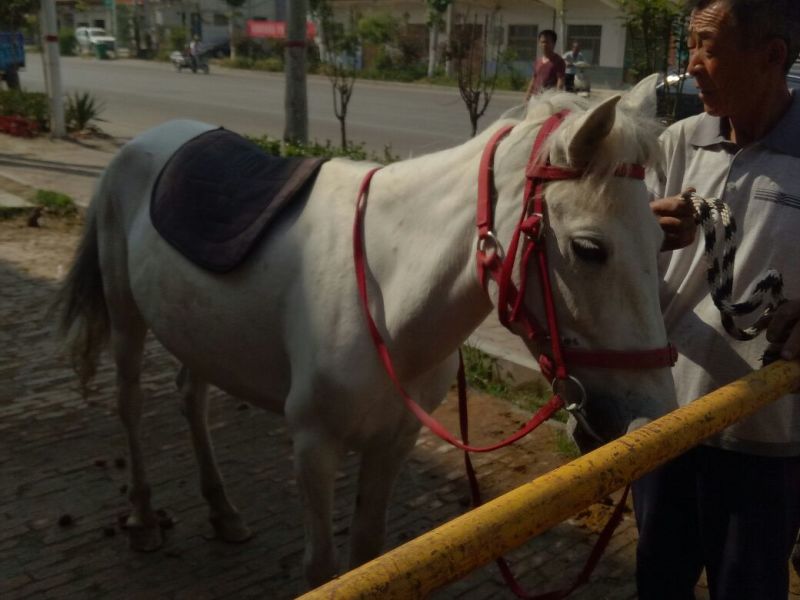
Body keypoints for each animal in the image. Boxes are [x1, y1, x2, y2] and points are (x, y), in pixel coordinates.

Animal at [56, 78, 675, 588]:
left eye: (662, 238)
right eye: (589, 249)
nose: (651, 417)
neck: (385, 293)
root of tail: (144, 143)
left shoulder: (393, 443)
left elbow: (368, 556)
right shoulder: (313, 445)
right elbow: (324, 570)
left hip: (198, 334)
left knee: (190, 398)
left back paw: (223, 511)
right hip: (126, 314)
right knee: (131, 404)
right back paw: (141, 516)